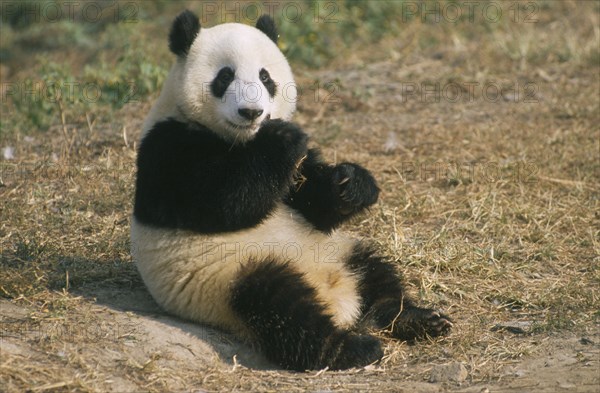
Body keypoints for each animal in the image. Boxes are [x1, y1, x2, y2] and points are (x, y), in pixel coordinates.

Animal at [130, 9, 450, 370]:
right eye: (224, 77)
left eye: (265, 77)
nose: (251, 112)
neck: (241, 141)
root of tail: (337, 299)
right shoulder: (167, 146)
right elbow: (221, 203)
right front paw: (280, 139)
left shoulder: (299, 168)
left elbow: (315, 205)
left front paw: (352, 183)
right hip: (229, 277)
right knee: (282, 310)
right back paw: (351, 348)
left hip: (338, 250)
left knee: (375, 271)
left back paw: (415, 319)